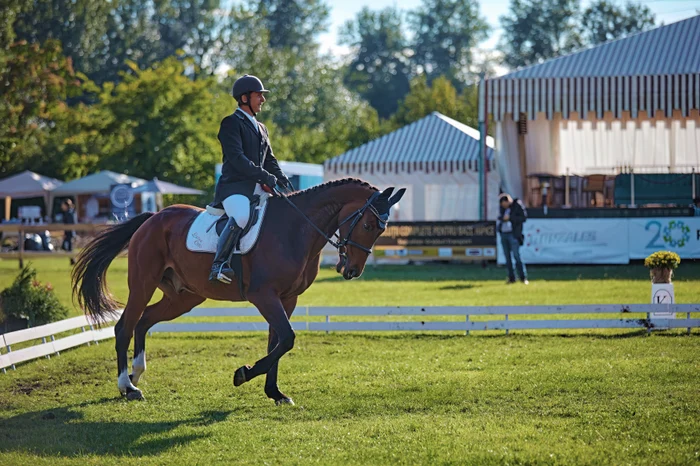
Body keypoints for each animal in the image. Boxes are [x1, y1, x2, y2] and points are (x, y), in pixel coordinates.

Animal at [71, 178, 404, 404]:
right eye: (369, 225)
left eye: (382, 229)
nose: (351, 270)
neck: (296, 229)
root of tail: (153, 218)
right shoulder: (264, 295)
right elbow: (286, 338)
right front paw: (242, 374)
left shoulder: (287, 298)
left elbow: (277, 341)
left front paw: (275, 392)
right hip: (143, 283)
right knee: (125, 326)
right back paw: (127, 387)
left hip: (184, 296)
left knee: (144, 321)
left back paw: (137, 373)